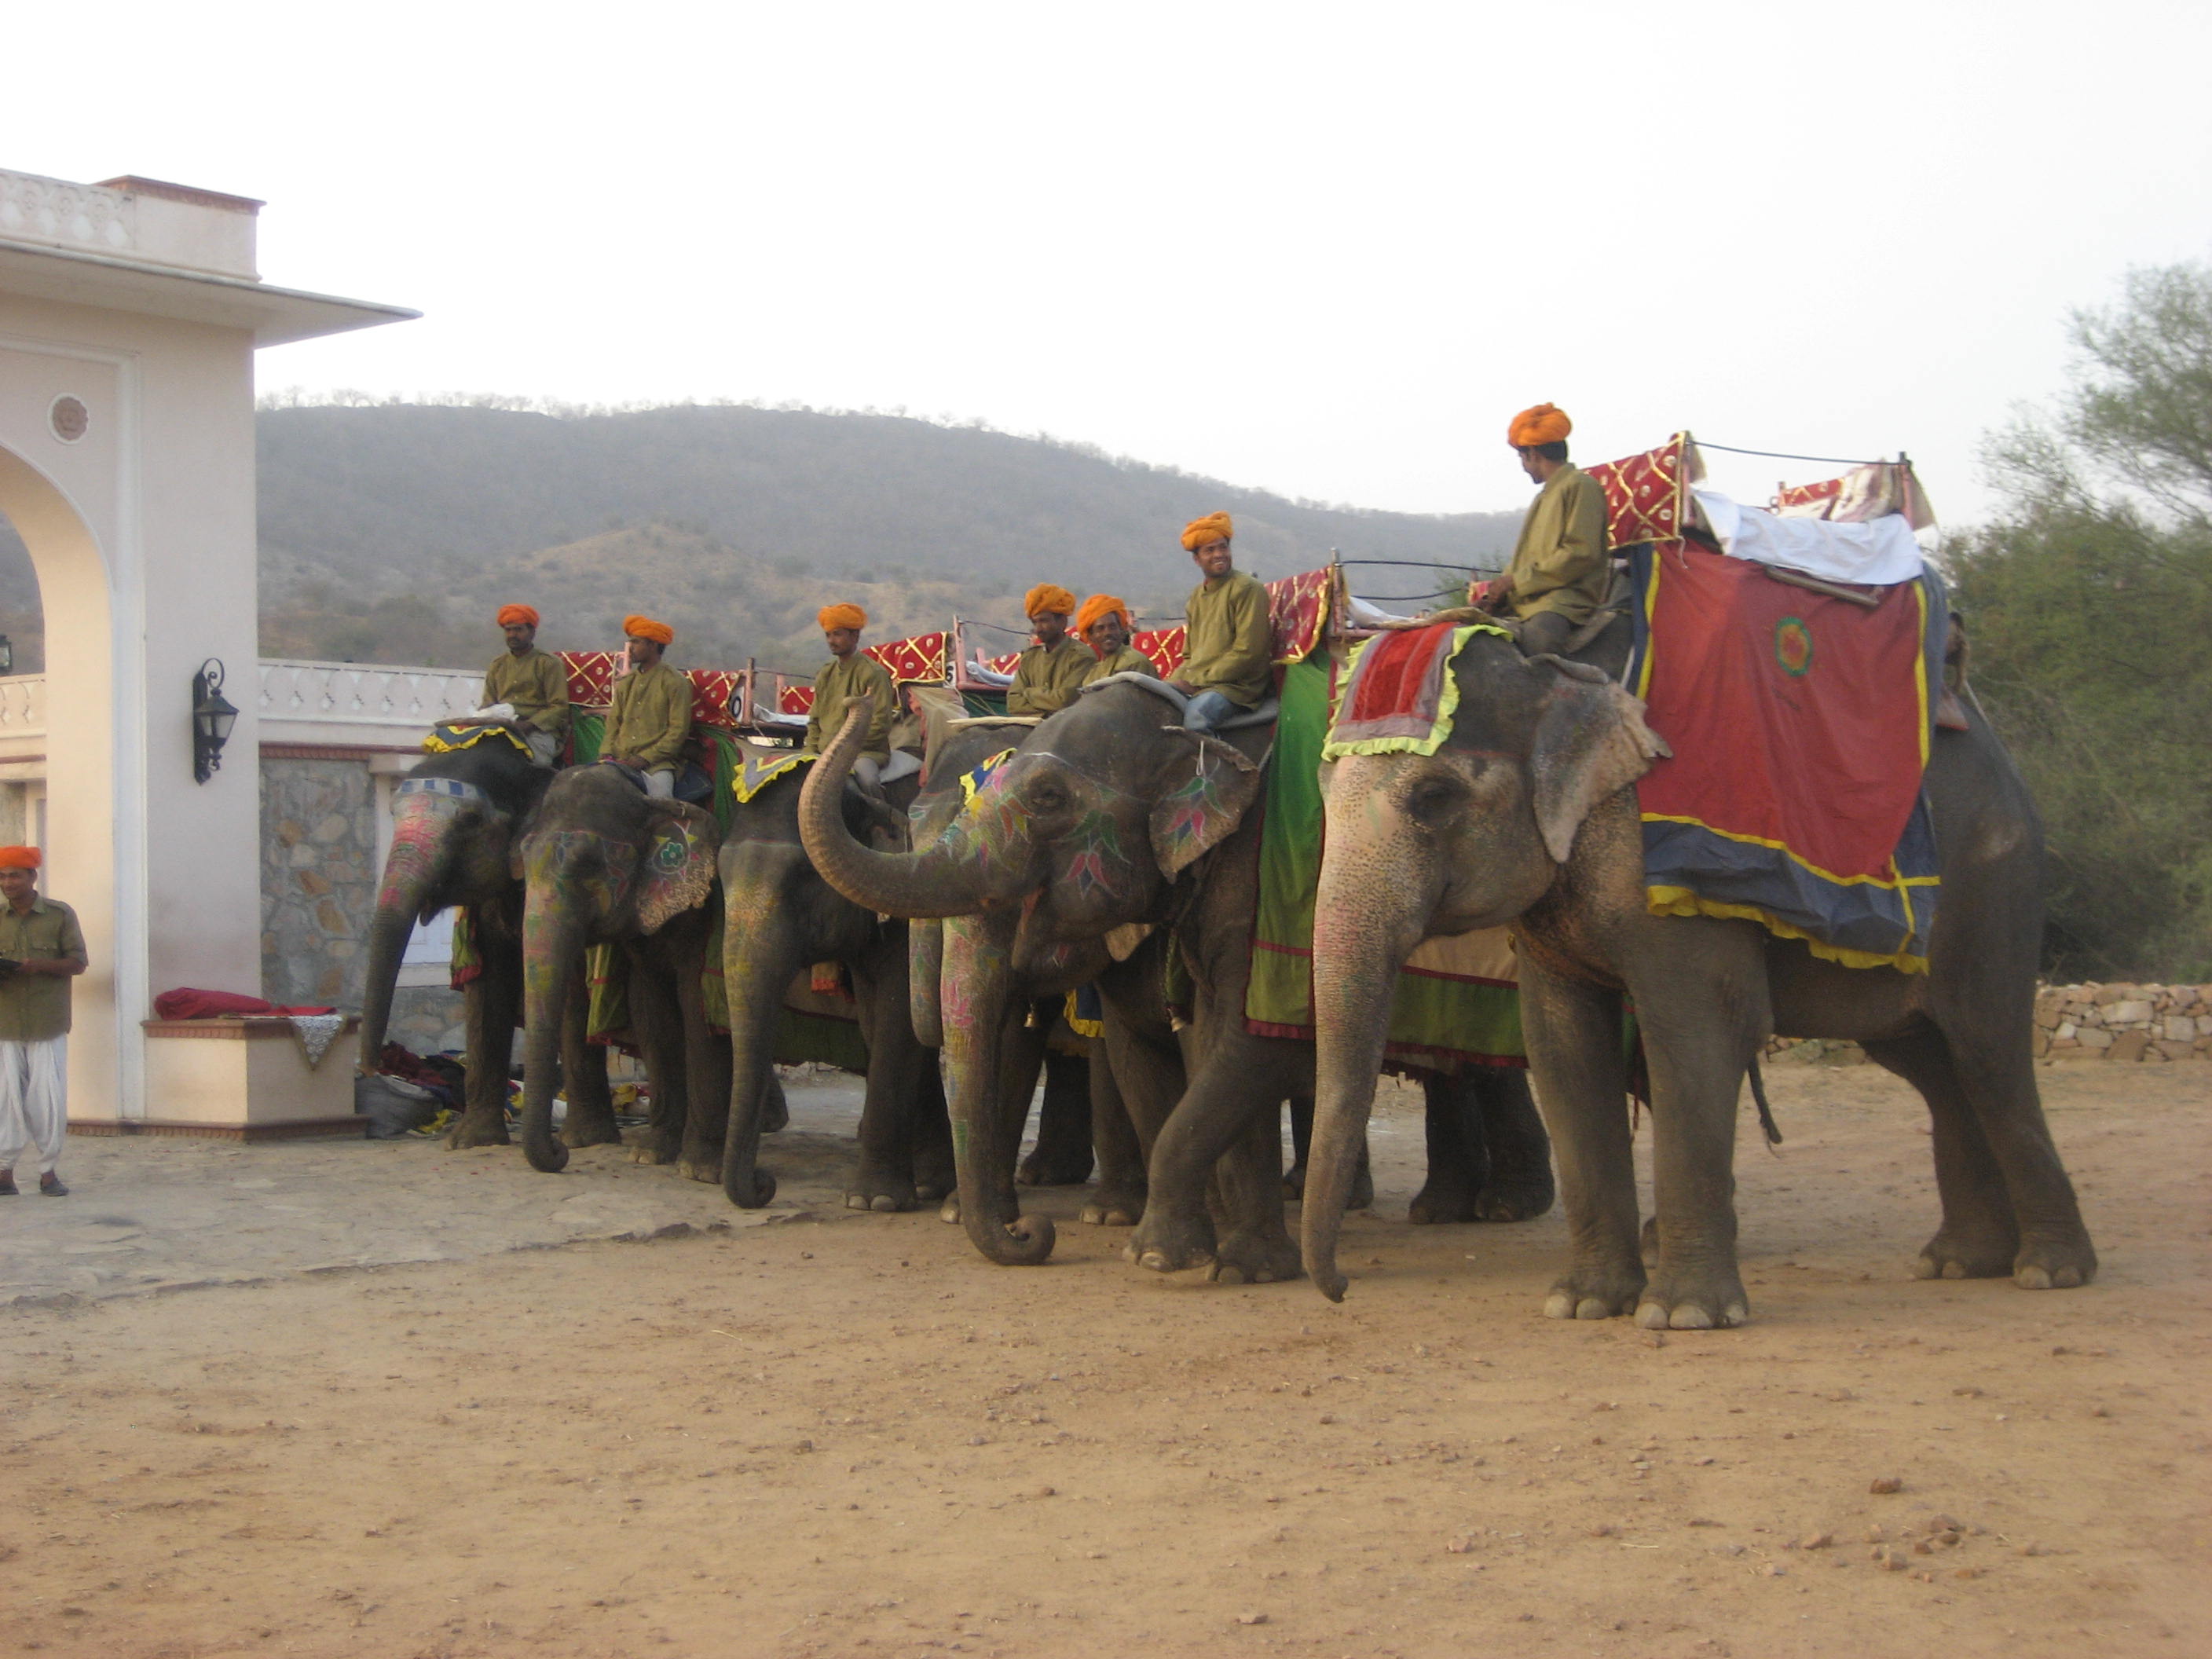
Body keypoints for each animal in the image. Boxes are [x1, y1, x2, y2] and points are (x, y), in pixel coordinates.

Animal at [358, 734, 615, 1150]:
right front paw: (470, 1142)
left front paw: (585, 1139)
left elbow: (572, 989)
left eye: (470, 822)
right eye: (393, 814)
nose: (370, 1067)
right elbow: (488, 984)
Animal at [515, 765, 727, 1177]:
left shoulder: (705, 907)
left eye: (589, 866)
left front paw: (700, 1170)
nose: (559, 1153)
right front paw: (651, 1155)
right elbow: (650, 1011)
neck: (647, 800)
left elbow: (697, 1006)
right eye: (524, 861)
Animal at [798, 678, 1553, 1280]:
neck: (1187, 725)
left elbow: (1240, 1041)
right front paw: (1176, 1250)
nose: (1033, 1235)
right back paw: (1446, 1209)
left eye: (1048, 798)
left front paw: (1223, 1264)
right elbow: (1147, 1051)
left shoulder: (1267, 878)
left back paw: (1493, 1209)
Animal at [1300, 623, 2099, 1327]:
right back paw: (1960, 1263)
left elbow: (1697, 1029)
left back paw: (2048, 1271)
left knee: (1986, 1053)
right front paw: (1583, 1306)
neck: (1554, 673)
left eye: (1432, 799)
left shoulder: (1677, 870)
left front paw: (1681, 1316)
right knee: (1929, 1065)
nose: (1340, 1291)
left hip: (1993, 884)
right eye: (1321, 791)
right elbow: (1563, 1046)